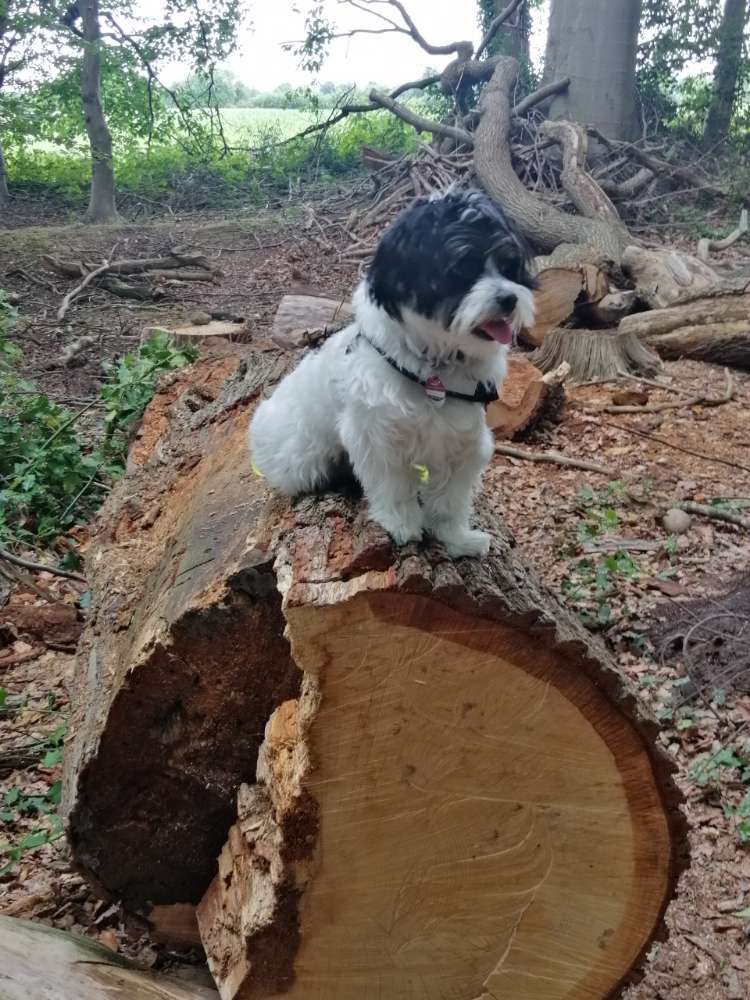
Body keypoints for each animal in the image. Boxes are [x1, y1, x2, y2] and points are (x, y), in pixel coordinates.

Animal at [250, 189, 536, 556]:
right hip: (299, 459)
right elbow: (394, 486)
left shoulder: (463, 440)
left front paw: (456, 538)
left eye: (508, 266)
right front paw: (402, 526)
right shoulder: (377, 436)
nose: (509, 298)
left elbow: (450, 499)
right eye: (462, 268)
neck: (434, 369)